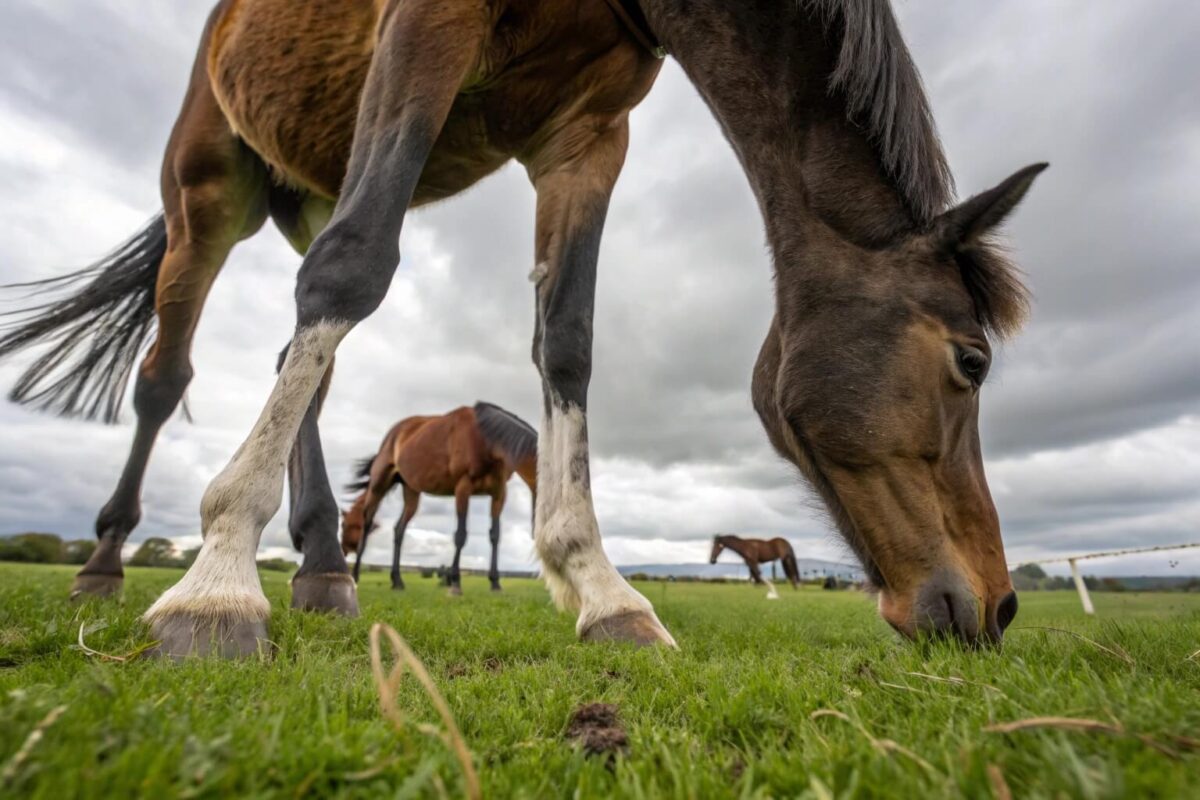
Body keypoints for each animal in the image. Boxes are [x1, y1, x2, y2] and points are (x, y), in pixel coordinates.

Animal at [339, 402, 537, 594]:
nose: (343, 549)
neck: (485, 439)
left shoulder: (499, 494)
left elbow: (495, 536)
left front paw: (495, 583)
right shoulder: (463, 488)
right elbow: (460, 534)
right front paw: (455, 582)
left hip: (411, 492)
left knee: (399, 530)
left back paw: (397, 581)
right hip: (379, 485)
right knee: (367, 524)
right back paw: (355, 576)